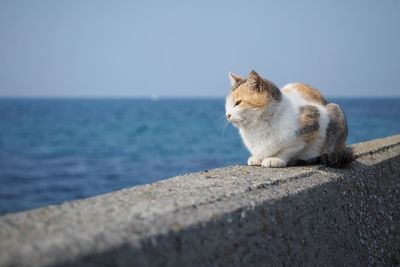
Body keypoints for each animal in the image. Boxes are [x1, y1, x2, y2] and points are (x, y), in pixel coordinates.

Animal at [225, 70, 354, 169]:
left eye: (238, 103)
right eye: (227, 104)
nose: (227, 114)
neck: (258, 126)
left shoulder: (314, 121)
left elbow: (290, 149)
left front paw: (275, 159)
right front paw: (257, 158)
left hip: (334, 109)